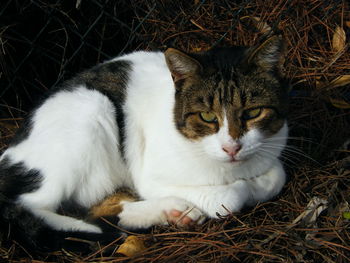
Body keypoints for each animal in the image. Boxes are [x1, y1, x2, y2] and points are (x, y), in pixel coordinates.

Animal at [0, 35, 288, 252]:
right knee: (32, 206)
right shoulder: (150, 177)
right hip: (91, 108)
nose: (232, 147)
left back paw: (171, 211)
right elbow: (229, 196)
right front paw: (244, 189)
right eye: (207, 116)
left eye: (253, 112)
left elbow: (277, 175)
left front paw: (258, 183)